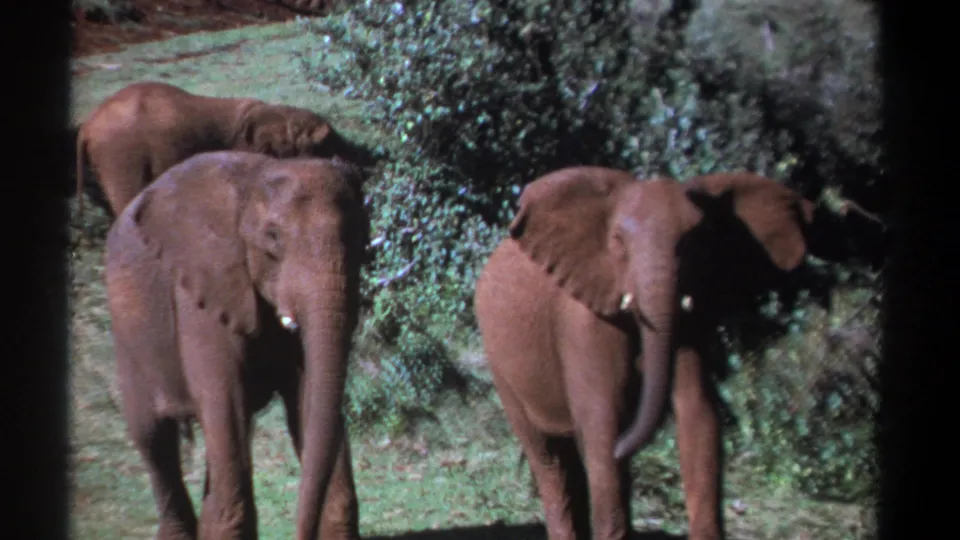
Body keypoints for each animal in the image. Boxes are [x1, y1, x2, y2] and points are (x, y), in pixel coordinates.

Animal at [104, 150, 369, 540]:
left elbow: (307, 397)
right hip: (128, 341)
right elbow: (224, 396)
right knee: (154, 439)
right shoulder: (201, 291)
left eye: (360, 237)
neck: (256, 180)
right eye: (273, 237)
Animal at [474, 167, 815, 540]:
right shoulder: (583, 322)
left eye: (695, 241)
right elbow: (602, 421)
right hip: (499, 364)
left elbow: (699, 413)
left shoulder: (691, 317)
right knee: (548, 457)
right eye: (618, 240)